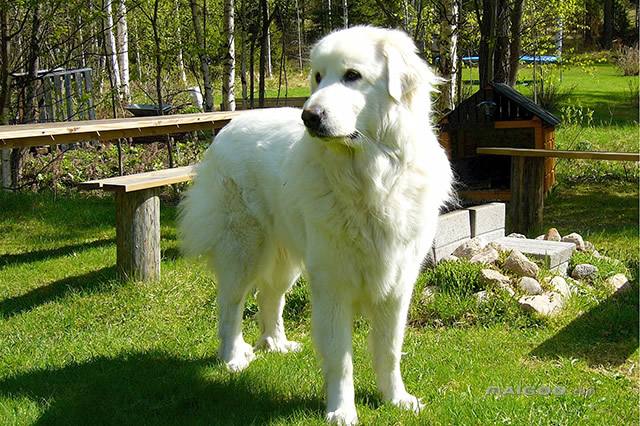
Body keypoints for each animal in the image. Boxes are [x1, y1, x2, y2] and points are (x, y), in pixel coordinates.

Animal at [178, 25, 452, 422]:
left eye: (352, 76)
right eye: (318, 77)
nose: (309, 117)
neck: (371, 177)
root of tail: (230, 125)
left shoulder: (397, 285)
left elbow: (389, 351)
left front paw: (396, 399)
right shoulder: (332, 284)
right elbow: (341, 358)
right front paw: (342, 411)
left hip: (286, 258)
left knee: (269, 296)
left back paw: (276, 344)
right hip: (243, 249)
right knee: (230, 304)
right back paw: (232, 358)